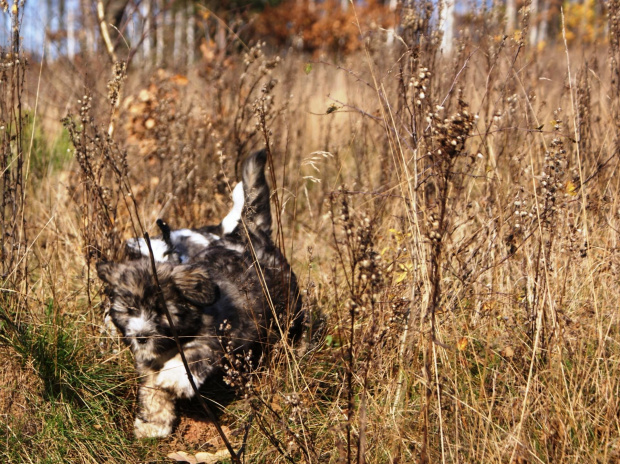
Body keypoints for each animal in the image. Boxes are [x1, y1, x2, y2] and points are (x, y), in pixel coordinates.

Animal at [95, 150, 306, 436]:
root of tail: (251, 235)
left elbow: (190, 357)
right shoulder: (147, 363)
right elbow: (152, 394)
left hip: (287, 305)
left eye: (161, 311)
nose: (141, 336)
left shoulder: (214, 337)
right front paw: (154, 425)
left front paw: (173, 378)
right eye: (129, 310)